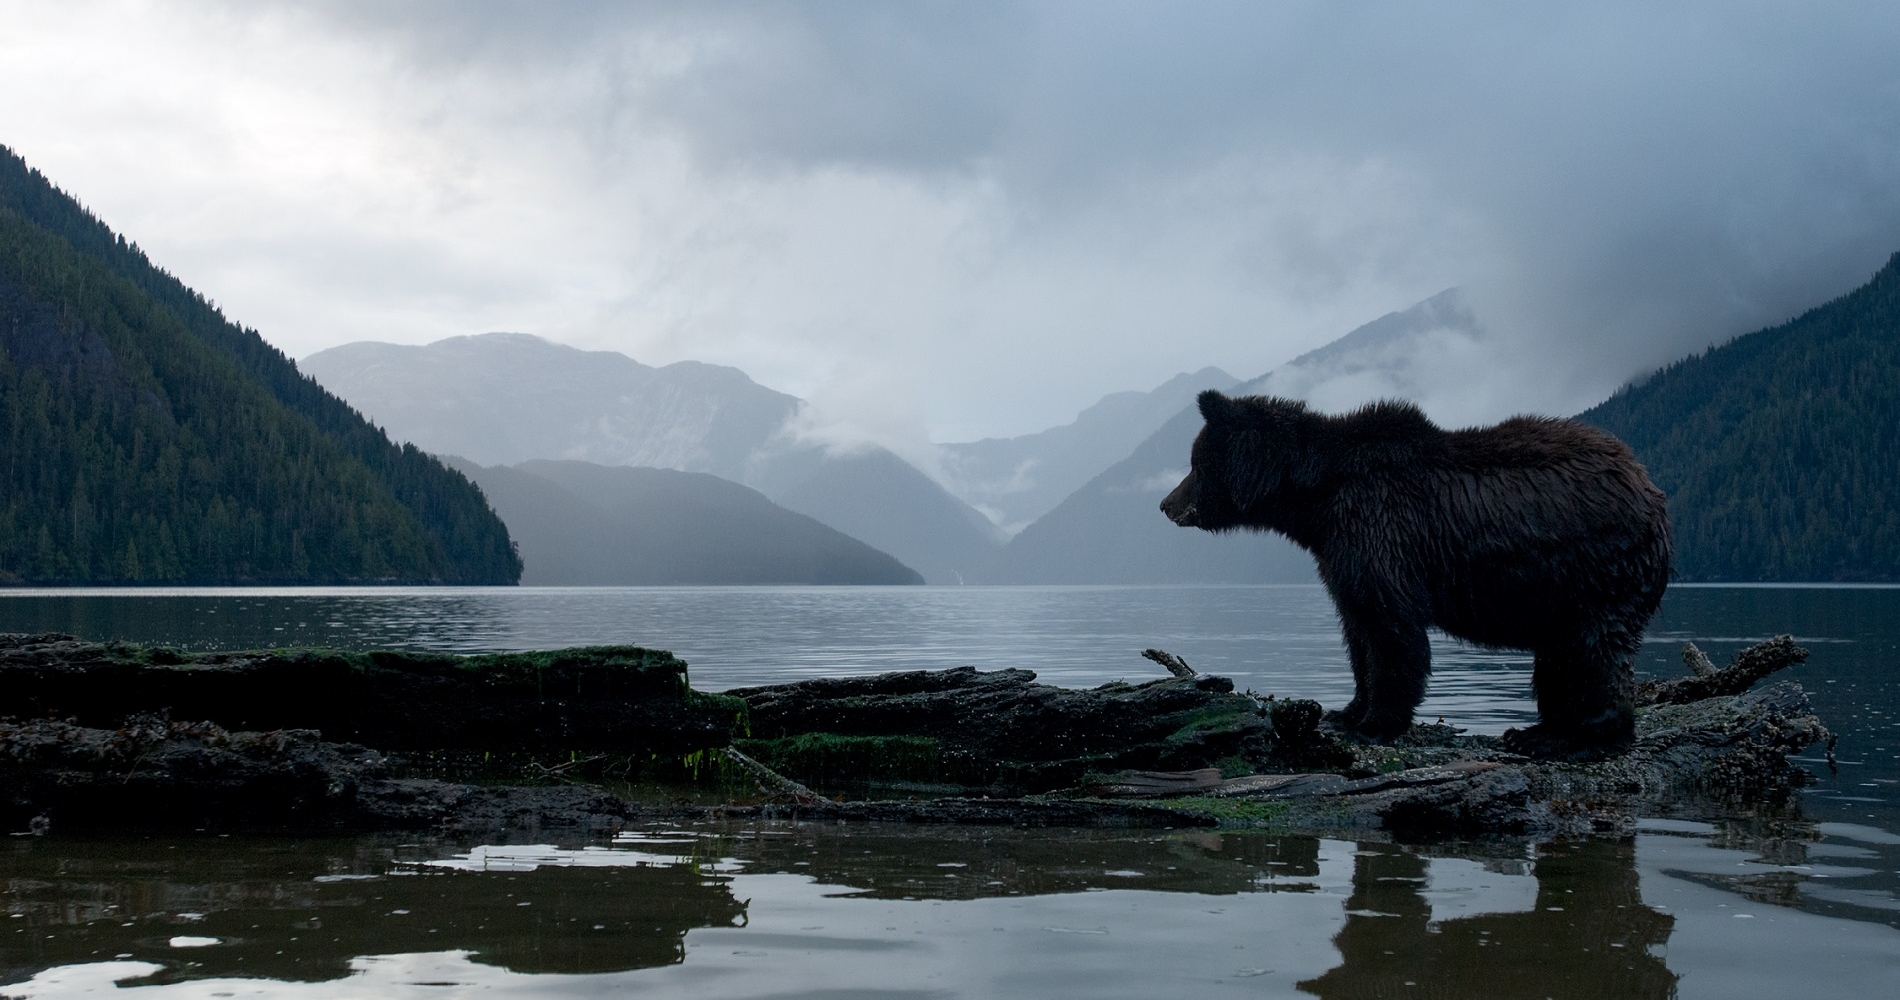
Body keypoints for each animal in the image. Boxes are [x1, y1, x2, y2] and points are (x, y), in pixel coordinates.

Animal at [1162, 391, 1672, 760]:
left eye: (1194, 463)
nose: (1166, 504)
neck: (1317, 500)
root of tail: (1649, 486)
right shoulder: (1341, 551)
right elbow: (1357, 628)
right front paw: (1347, 711)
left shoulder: (1380, 530)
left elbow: (1391, 629)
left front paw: (1376, 723)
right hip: (1564, 589)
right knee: (1559, 658)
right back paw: (1536, 730)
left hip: (1598, 568)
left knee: (1595, 651)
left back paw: (1575, 737)